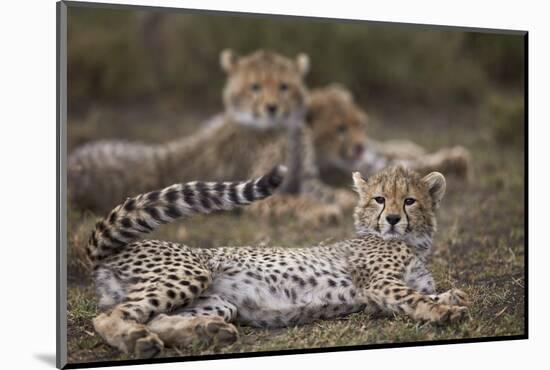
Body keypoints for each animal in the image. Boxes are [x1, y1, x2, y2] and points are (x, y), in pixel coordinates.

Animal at [89, 165, 470, 358]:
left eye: (409, 201)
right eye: (379, 200)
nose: (391, 219)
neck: (413, 242)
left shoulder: (382, 295)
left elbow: (429, 291)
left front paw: (452, 297)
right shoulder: (380, 285)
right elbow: (415, 297)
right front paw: (444, 311)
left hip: (220, 303)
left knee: (157, 319)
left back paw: (207, 332)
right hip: (190, 270)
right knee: (108, 316)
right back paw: (134, 340)